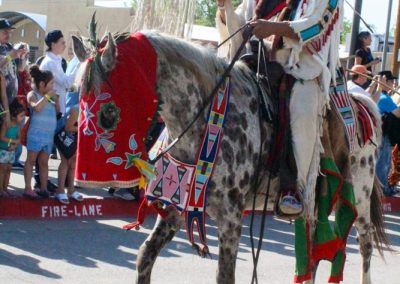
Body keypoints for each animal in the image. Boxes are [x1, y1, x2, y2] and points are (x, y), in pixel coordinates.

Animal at [71, 28, 388, 282]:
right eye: (79, 98)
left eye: (108, 112)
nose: (87, 180)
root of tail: (364, 102)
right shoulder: (175, 207)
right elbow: (144, 256)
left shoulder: (230, 218)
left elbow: (225, 276)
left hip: (356, 194)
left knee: (363, 244)